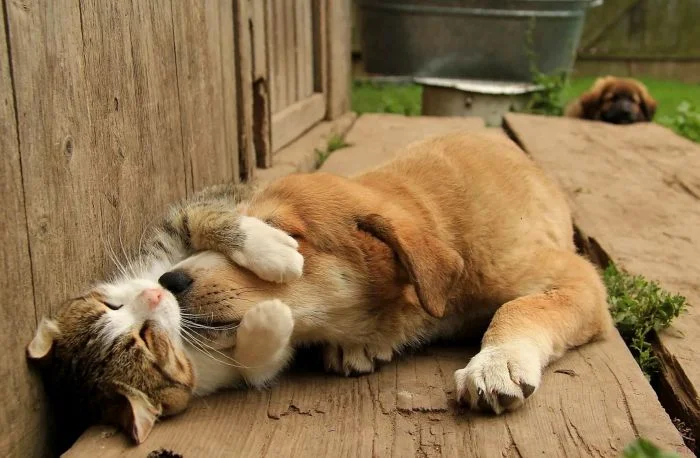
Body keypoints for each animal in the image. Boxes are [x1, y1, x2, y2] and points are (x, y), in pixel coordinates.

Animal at [27, 183, 304, 444]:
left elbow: (196, 215)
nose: (154, 294)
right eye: (147, 338)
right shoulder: (215, 373)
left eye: (110, 305)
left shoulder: (168, 234)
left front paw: (272, 250)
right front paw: (272, 316)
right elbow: (257, 366)